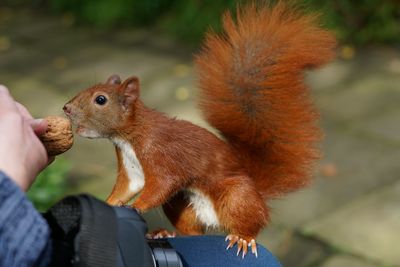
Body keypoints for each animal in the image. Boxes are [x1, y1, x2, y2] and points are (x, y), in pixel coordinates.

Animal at [64, 1, 336, 258]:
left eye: (100, 99)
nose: (66, 108)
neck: (129, 136)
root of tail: (255, 189)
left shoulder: (163, 155)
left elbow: (160, 185)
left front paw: (136, 207)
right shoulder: (131, 167)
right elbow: (127, 187)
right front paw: (108, 203)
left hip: (237, 197)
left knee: (250, 222)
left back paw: (242, 238)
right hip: (180, 203)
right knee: (193, 233)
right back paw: (165, 232)